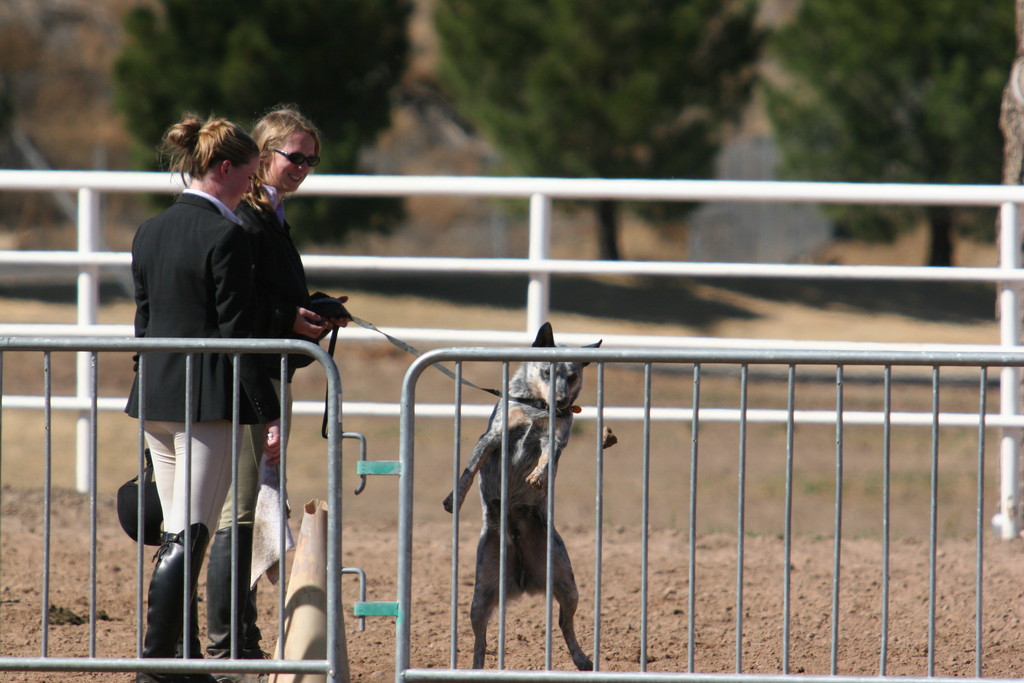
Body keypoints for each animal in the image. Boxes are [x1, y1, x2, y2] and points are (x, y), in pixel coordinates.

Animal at [442, 323, 598, 671]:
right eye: (547, 371)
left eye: (572, 376)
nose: (561, 400)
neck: (537, 409)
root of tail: (524, 578)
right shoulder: (493, 437)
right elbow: (469, 471)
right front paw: (453, 499)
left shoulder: (556, 438)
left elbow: (548, 456)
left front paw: (538, 476)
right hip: (480, 596)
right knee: (481, 641)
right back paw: (476, 667)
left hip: (567, 583)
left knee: (564, 623)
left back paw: (582, 658)